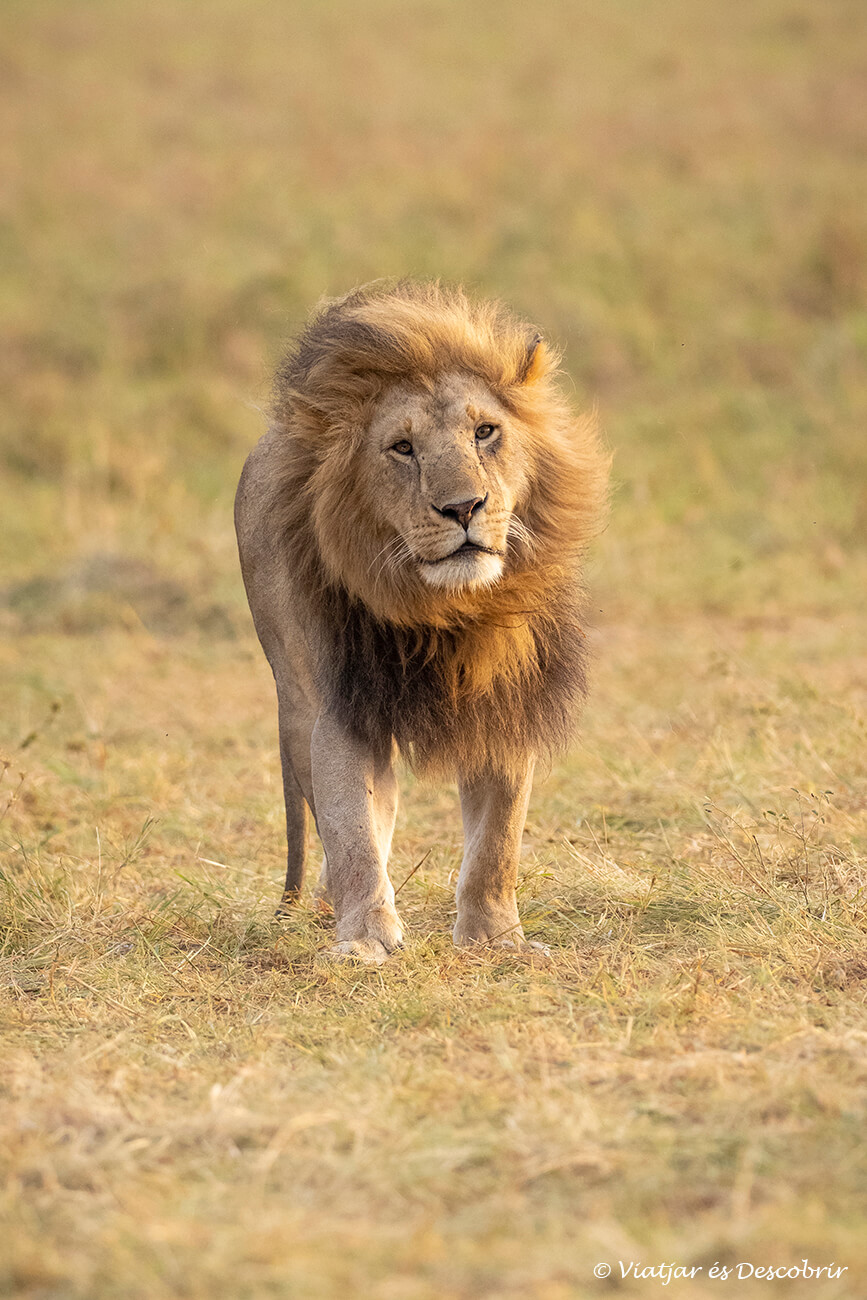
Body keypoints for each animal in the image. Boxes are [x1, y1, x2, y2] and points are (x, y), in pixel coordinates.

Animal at [235, 281, 608, 962]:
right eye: (402, 448)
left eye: (485, 432)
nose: (464, 507)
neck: (443, 608)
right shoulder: (343, 708)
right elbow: (353, 831)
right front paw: (366, 940)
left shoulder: (506, 701)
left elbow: (497, 843)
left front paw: (496, 938)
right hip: (296, 698)